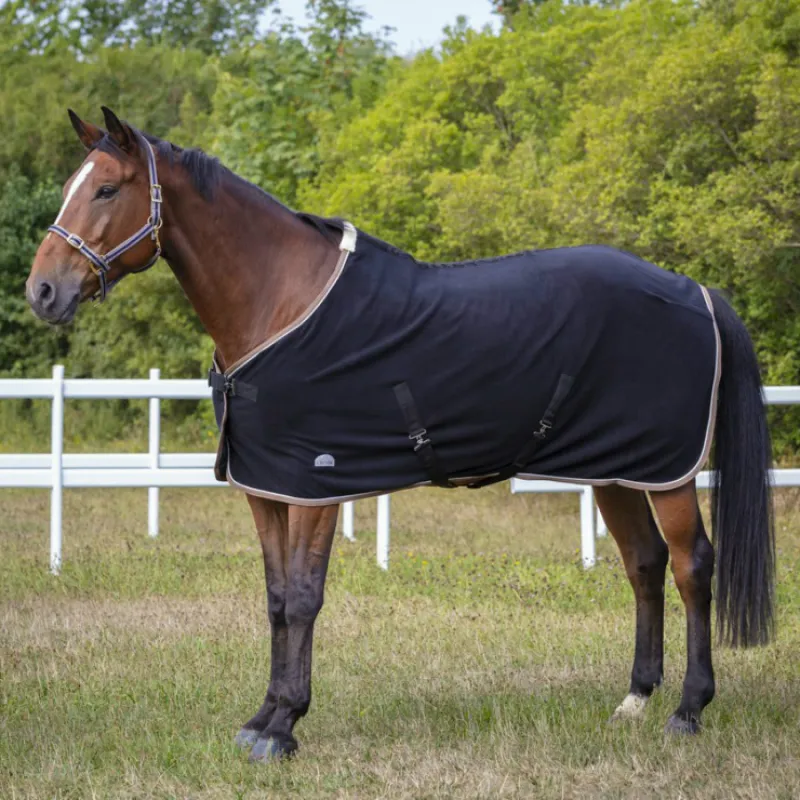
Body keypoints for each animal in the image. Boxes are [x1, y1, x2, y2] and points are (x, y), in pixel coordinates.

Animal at [26, 108, 774, 761]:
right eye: (70, 188)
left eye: (106, 188)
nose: (42, 292)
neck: (280, 303)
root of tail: (694, 289)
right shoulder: (265, 489)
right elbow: (275, 600)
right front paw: (260, 719)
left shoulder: (315, 486)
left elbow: (304, 598)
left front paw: (285, 727)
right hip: (616, 468)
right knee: (644, 563)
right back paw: (634, 701)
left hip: (667, 471)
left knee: (691, 566)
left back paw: (688, 710)